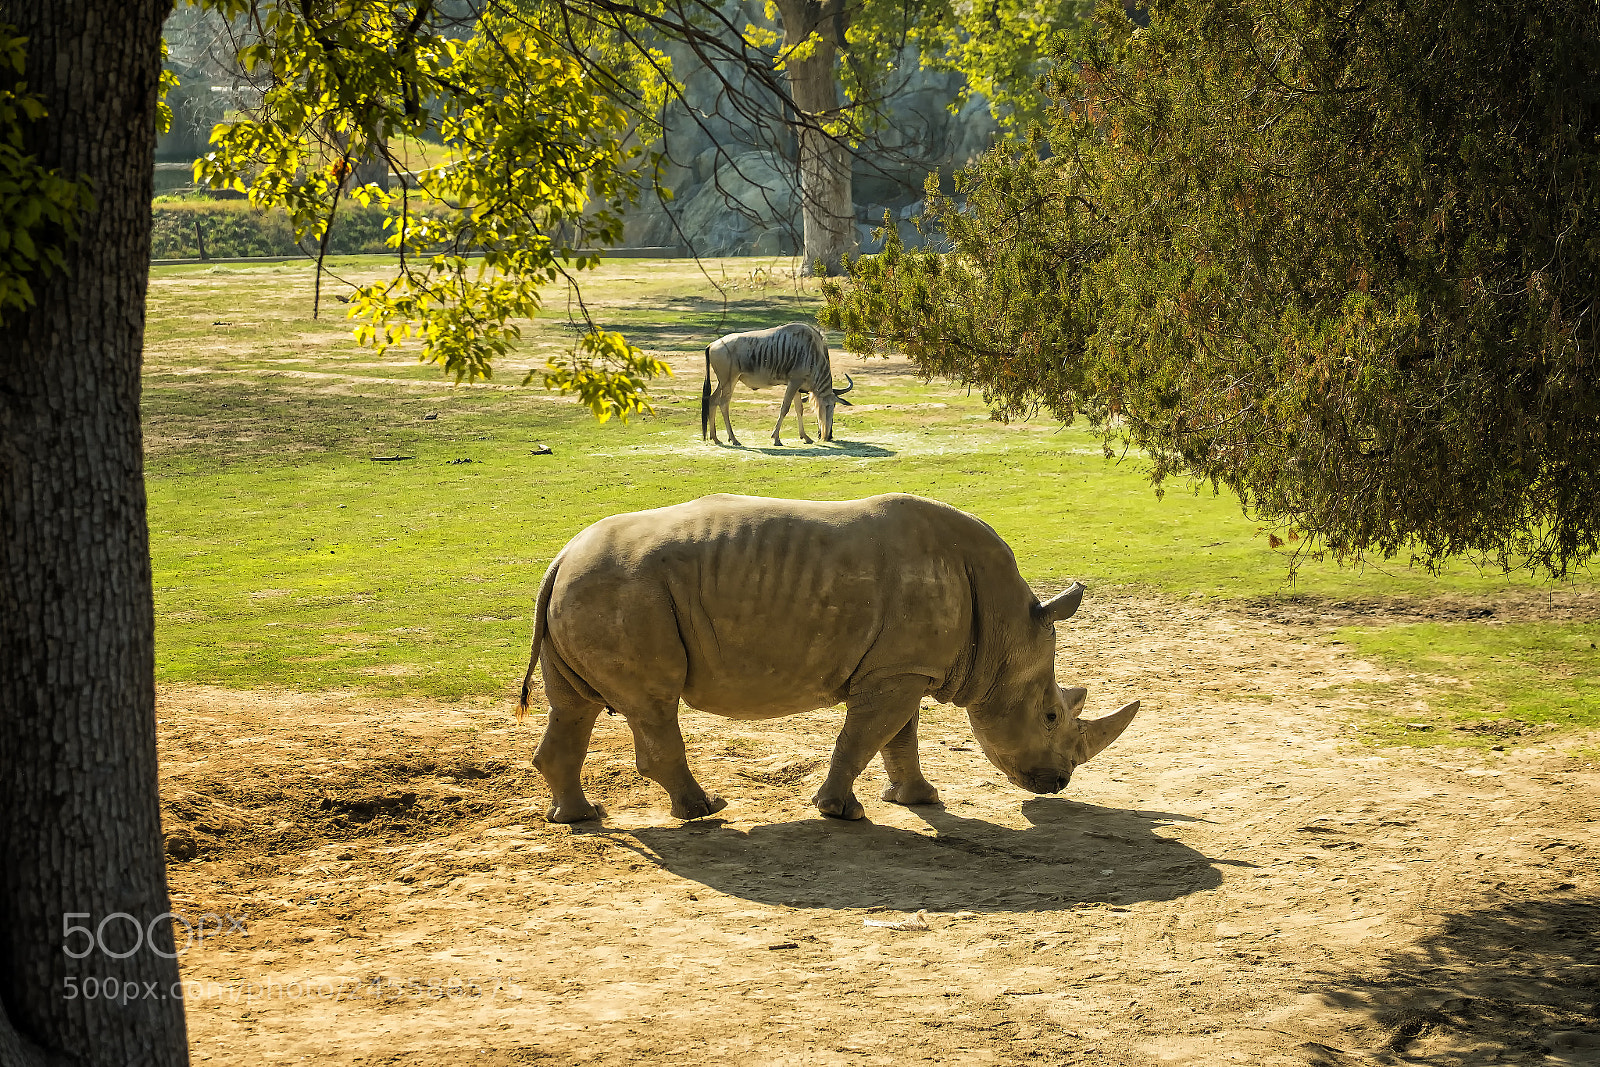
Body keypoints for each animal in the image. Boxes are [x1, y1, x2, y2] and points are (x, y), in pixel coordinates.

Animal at [518, 493, 1139, 822]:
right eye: (1052, 715)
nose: (1058, 784)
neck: (1007, 623)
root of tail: (560, 557)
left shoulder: (903, 667)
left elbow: (899, 739)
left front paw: (919, 799)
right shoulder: (898, 672)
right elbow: (865, 737)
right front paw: (842, 812)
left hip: (588, 589)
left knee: (574, 706)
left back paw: (579, 817)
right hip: (621, 591)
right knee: (652, 703)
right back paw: (706, 810)